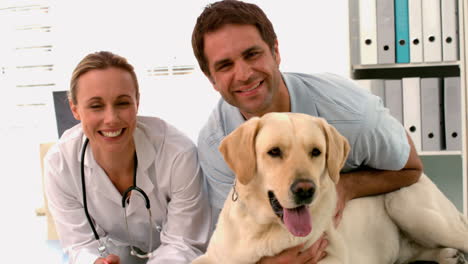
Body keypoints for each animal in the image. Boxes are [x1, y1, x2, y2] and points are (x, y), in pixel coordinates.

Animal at [192, 112, 466, 262]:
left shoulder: (331, 255)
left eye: (316, 152)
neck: (262, 228)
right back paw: (446, 255)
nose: (305, 190)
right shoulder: (214, 257)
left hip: (408, 208)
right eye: (274, 151)